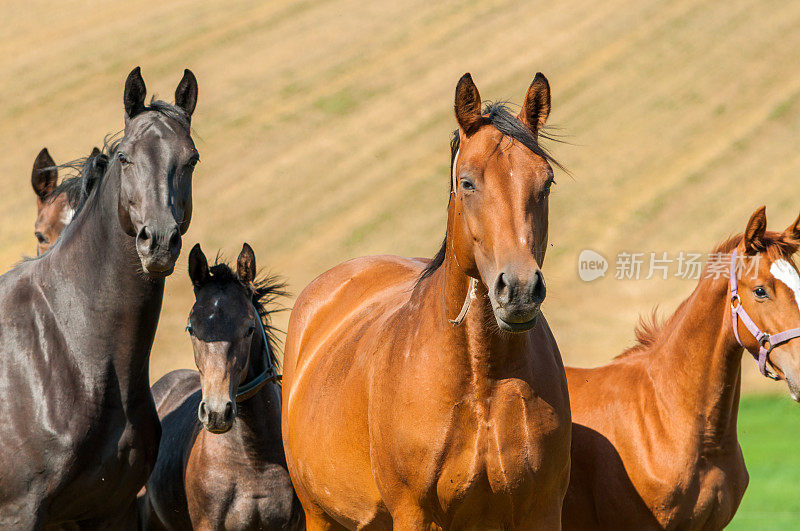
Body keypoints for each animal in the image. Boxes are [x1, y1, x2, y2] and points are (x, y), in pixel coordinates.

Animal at [284, 72, 572, 528]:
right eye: (467, 182)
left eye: (545, 183)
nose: (520, 290)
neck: (482, 382)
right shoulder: (415, 512)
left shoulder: (542, 509)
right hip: (319, 515)